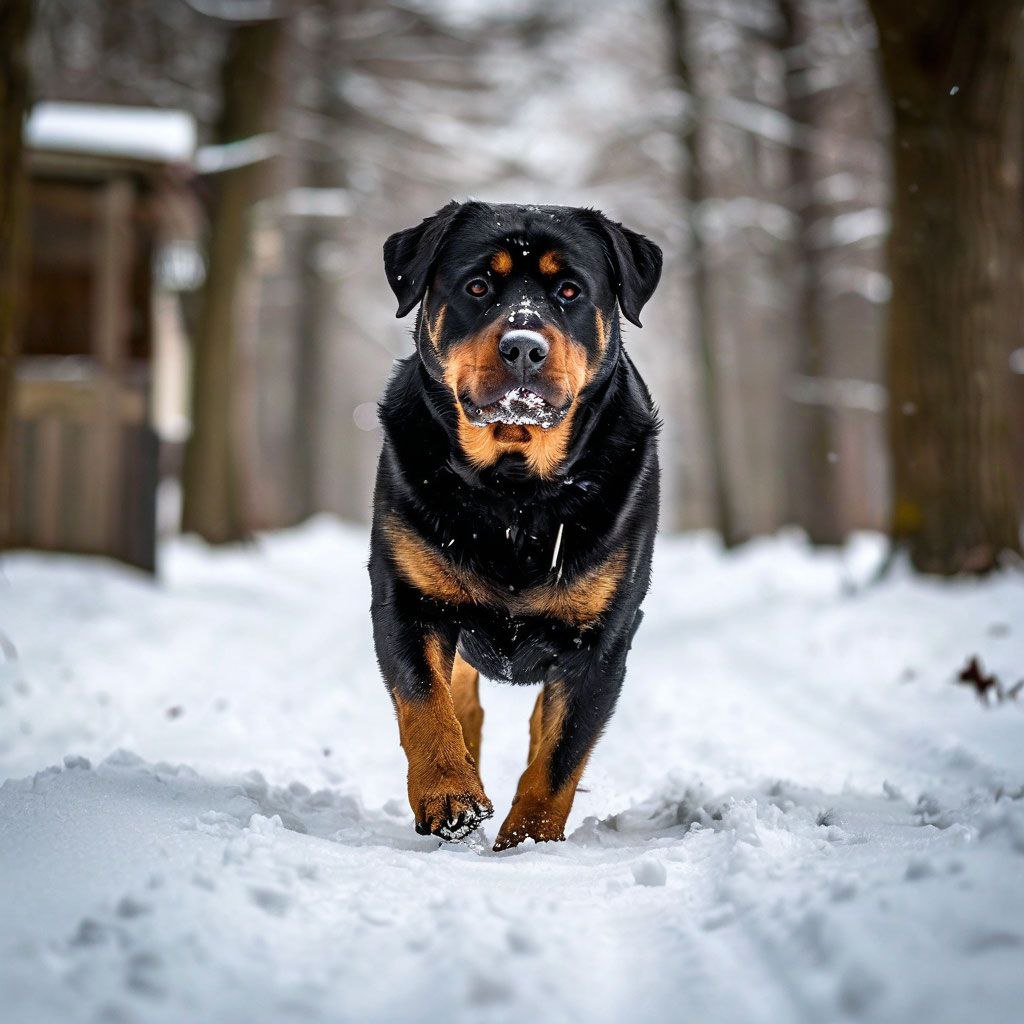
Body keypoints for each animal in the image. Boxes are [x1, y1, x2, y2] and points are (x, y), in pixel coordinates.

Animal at [372, 199, 659, 847]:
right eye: (478, 286)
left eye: (570, 290)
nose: (523, 346)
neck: (515, 492)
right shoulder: (405, 598)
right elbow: (424, 701)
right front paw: (449, 796)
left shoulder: (603, 638)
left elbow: (560, 756)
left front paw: (529, 840)